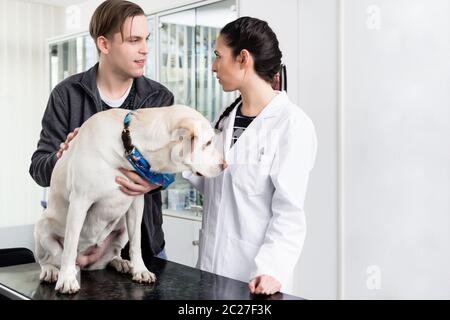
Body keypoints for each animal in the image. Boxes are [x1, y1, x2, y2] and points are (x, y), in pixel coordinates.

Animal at [33, 104, 225, 292]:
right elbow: (70, 246)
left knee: (111, 255)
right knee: (50, 258)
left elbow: (136, 243)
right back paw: (52, 271)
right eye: (208, 143)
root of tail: (85, 261)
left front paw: (140, 270)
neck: (130, 147)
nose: (225, 165)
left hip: (122, 228)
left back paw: (121, 262)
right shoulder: (80, 202)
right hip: (42, 227)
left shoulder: (136, 204)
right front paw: (66, 279)